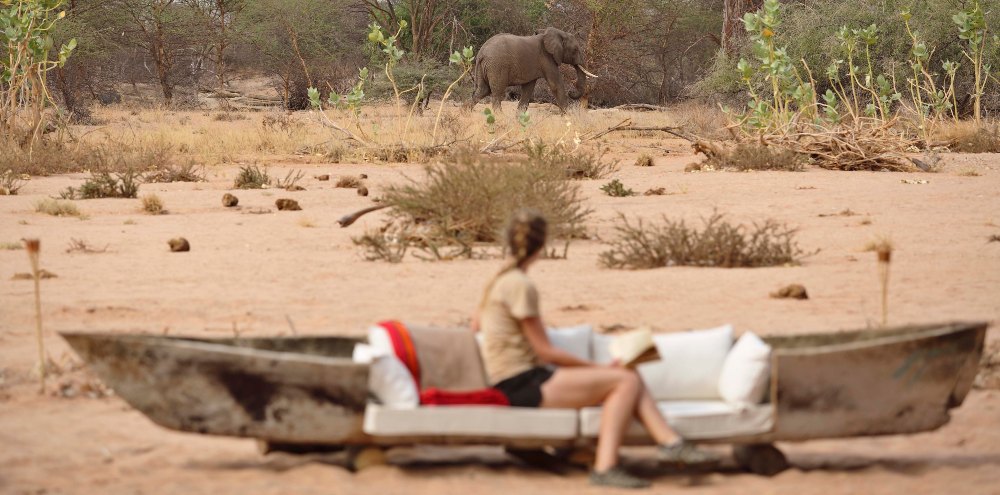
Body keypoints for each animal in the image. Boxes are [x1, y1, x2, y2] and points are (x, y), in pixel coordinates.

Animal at [468, 27, 597, 113]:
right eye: (575, 50)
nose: (571, 92)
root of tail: (481, 53)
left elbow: (528, 89)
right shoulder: (546, 58)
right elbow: (556, 85)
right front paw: (569, 117)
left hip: (486, 67)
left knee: (482, 91)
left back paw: (465, 114)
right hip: (497, 66)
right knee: (497, 93)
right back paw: (500, 117)